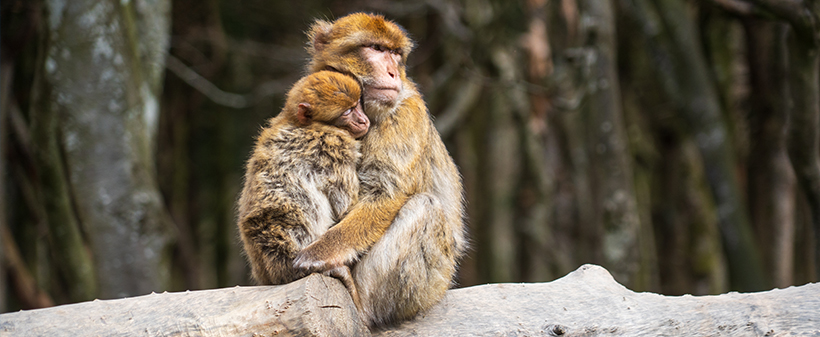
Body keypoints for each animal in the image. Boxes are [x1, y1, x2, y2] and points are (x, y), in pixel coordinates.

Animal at [237, 11, 468, 326]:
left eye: (395, 54)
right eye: (376, 49)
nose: (392, 72)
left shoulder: (406, 114)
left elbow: (386, 192)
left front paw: (317, 254)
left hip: (427, 287)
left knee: (425, 207)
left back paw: (361, 306)